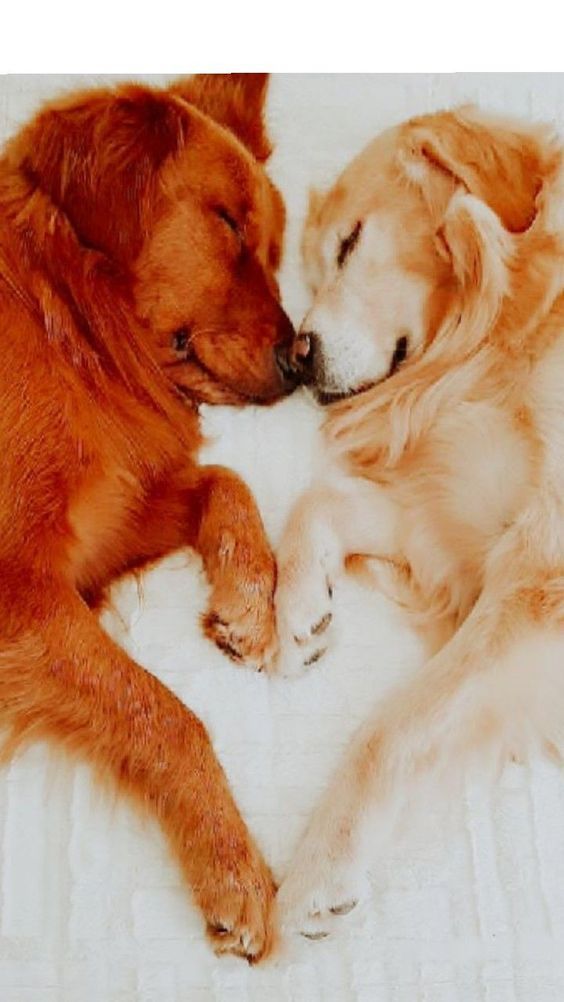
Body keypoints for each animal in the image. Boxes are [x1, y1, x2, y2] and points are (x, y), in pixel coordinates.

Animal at [0, 72, 298, 961]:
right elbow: (166, 715)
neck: (66, 310)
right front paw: (232, 864)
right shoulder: (20, 592)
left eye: (274, 249)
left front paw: (249, 603)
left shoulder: (99, 535)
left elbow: (223, 479)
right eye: (227, 223)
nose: (305, 359)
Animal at [272, 107, 564, 937]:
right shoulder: (462, 517)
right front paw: (297, 607)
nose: (293, 358)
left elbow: (394, 728)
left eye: (350, 242)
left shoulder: (538, 575)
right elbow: (318, 500)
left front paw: (321, 863)